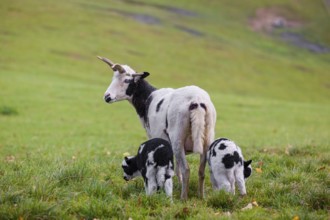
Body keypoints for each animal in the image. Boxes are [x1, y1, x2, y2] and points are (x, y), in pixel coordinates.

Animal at [96, 56, 218, 199]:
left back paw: (183, 197)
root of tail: (197, 101)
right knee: (201, 171)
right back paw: (201, 196)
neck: (147, 98)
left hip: (177, 137)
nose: (107, 97)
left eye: (127, 80)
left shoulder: (155, 137)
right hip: (207, 137)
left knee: (186, 169)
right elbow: (176, 169)